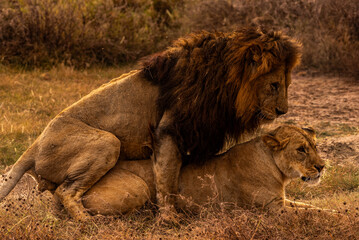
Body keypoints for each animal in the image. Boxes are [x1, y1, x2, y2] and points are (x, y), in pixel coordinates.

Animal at [0, 27, 302, 220]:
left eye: (287, 85)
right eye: (274, 85)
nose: (283, 111)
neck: (225, 85)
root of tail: (34, 145)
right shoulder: (168, 130)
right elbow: (167, 178)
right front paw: (170, 219)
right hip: (109, 141)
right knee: (66, 191)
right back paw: (88, 222)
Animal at [82, 124, 330, 215]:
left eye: (314, 146)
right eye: (301, 149)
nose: (322, 166)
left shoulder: (281, 201)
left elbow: (312, 207)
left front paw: (335, 211)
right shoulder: (273, 210)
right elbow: (312, 214)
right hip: (139, 188)